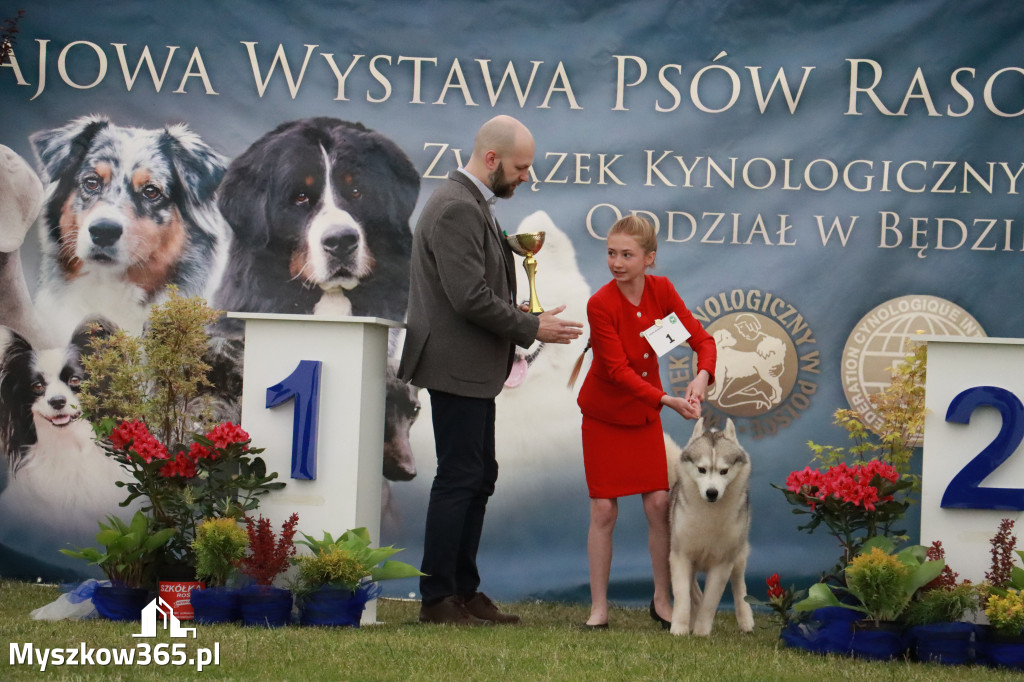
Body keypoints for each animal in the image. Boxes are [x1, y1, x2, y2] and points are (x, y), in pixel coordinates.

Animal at [667, 417, 757, 634]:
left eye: (724, 471)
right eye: (702, 469)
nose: (712, 492)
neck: (709, 515)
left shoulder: (723, 563)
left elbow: (710, 602)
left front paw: (701, 632)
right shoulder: (680, 557)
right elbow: (682, 597)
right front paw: (679, 628)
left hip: (738, 555)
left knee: (739, 586)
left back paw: (745, 619)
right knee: (693, 592)